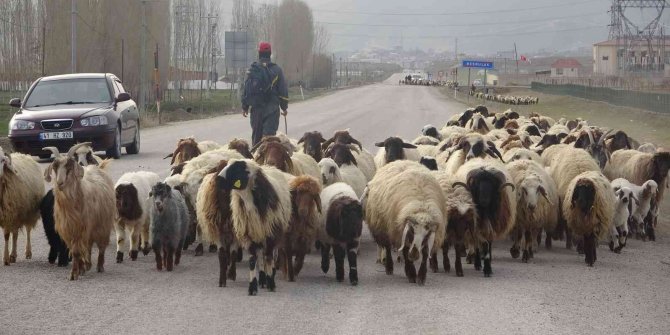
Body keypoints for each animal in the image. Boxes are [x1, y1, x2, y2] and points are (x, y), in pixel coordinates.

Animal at [43, 147, 115, 280]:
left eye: (69, 167)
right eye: (55, 167)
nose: (60, 183)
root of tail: (95, 168)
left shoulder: (81, 229)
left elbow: (77, 251)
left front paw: (74, 274)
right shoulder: (69, 230)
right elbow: (76, 250)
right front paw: (80, 269)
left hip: (102, 225)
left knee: (101, 246)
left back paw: (99, 266)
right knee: (89, 246)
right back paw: (87, 265)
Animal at [217, 159, 292, 296]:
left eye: (238, 169)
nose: (218, 179)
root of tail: (269, 167)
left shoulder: (270, 233)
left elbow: (268, 257)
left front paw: (271, 284)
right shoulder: (248, 234)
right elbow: (252, 261)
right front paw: (252, 287)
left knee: (269, 255)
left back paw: (269, 276)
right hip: (258, 234)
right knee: (260, 256)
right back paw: (262, 279)